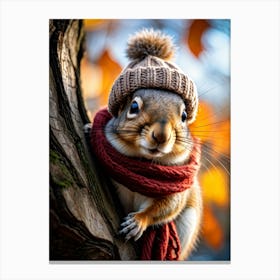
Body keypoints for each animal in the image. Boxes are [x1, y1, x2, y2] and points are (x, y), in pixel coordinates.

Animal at [89, 29, 201, 260]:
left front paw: (138, 221)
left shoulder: (176, 190)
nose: (161, 136)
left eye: (184, 116)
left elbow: (165, 208)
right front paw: (87, 127)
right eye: (133, 106)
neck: (143, 160)